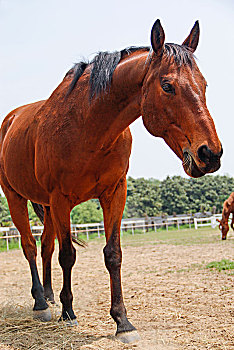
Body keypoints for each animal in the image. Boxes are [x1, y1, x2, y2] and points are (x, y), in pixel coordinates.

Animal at [0, 19, 223, 342]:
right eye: (167, 86)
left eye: (203, 85)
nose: (210, 154)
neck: (88, 127)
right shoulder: (61, 199)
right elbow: (68, 255)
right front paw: (69, 313)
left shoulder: (114, 193)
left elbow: (112, 255)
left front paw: (122, 322)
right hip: (16, 198)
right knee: (29, 246)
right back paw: (42, 304)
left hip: (47, 208)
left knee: (44, 247)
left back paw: (50, 296)